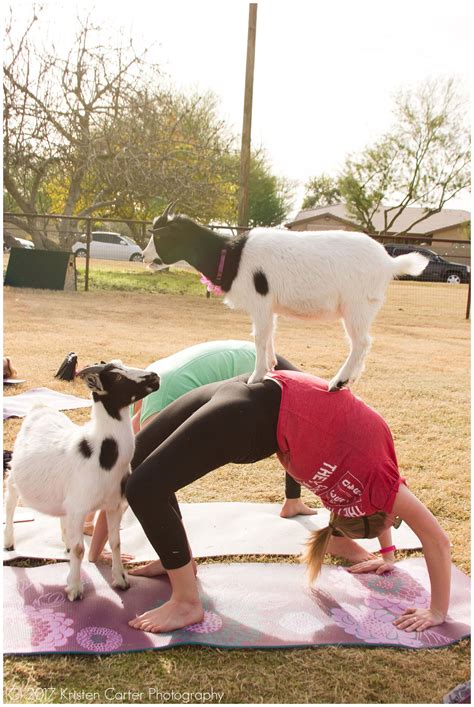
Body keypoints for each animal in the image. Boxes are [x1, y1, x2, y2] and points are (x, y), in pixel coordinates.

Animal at [3, 362, 161, 600]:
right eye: (116, 377)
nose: (154, 377)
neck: (102, 453)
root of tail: (40, 407)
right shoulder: (79, 507)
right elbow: (80, 549)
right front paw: (75, 589)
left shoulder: (114, 505)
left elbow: (115, 542)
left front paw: (121, 580)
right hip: (14, 477)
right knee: (10, 504)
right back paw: (9, 542)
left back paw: (65, 542)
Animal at [143, 202, 428, 390]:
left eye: (162, 237)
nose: (144, 257)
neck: (232, 255)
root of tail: (389, 263)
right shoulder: (269, 305)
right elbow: (270, 334)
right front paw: (271, 365)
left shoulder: (260, 301)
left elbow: (259, 337)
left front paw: (256, 376)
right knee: (363, 344)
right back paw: (351, 379)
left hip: (356, 306)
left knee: (361, 343)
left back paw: (338, 381)